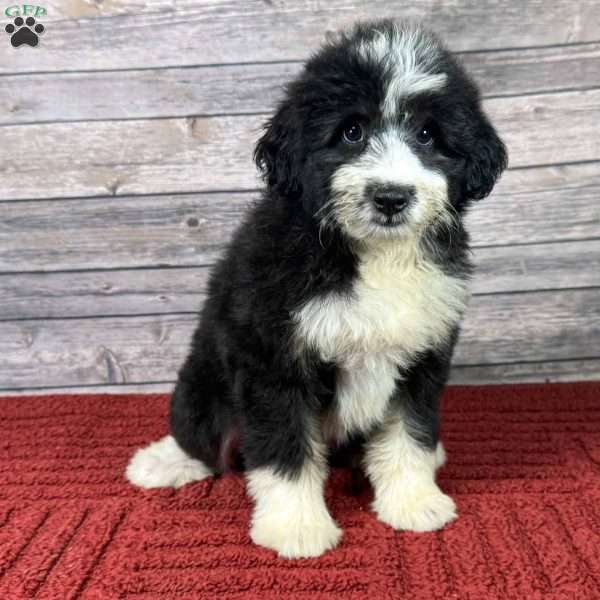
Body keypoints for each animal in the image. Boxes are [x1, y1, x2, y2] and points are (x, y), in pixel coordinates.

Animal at [126, 19, 506, 564]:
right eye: (351, 131)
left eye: (427, 134)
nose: (391, 197)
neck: (372, 255)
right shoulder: (275, 357)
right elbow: (286, 449)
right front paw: (296, 527)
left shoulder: (423, 352)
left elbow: (409, 431)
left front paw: (413, 502)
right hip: (202, 385)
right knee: (201, 438)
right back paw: (161, 462)